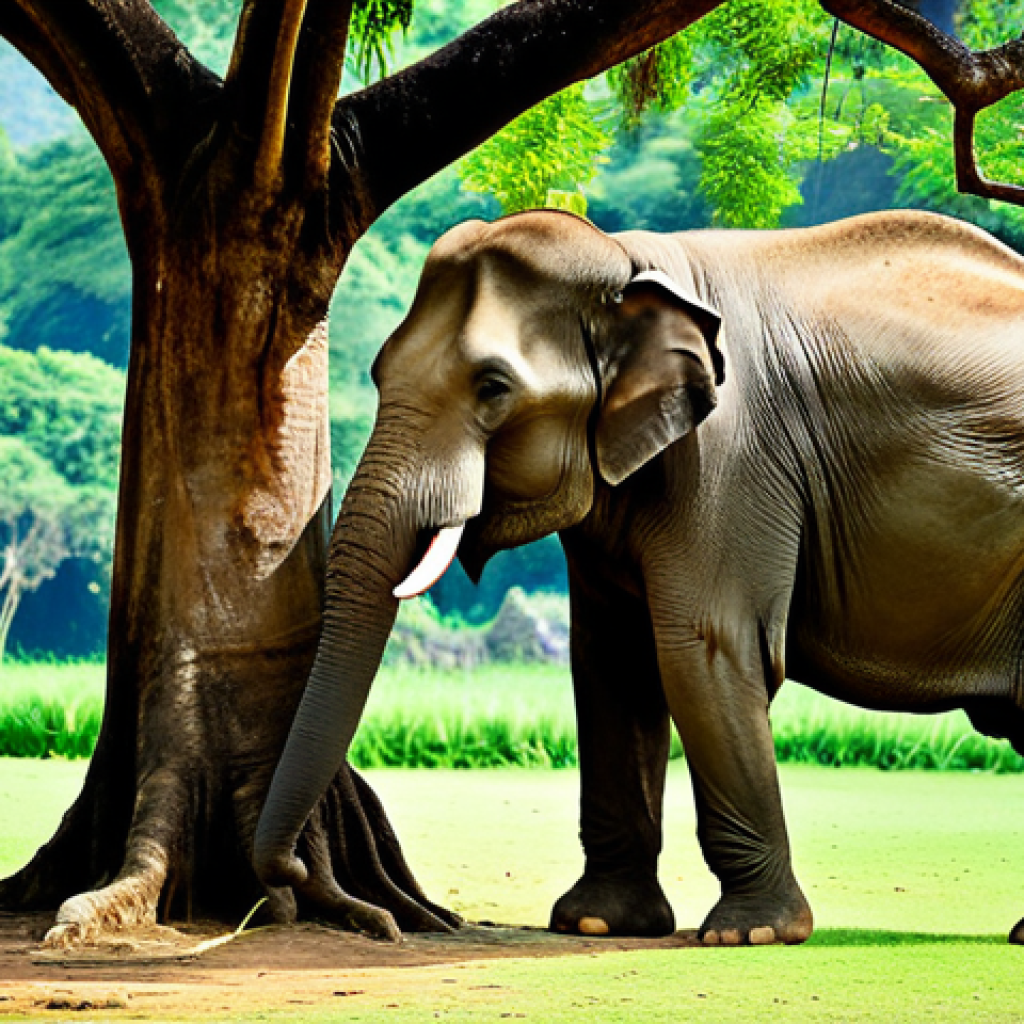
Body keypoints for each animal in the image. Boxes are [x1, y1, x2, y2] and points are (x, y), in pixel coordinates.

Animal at [254, 207, 1024, 946]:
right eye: (379, 373)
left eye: (493, 388)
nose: (292, 874)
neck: (627, 259)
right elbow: (613, 660)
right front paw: (596, 923)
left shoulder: (731, 457)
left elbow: (705, 651)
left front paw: (751, 933)